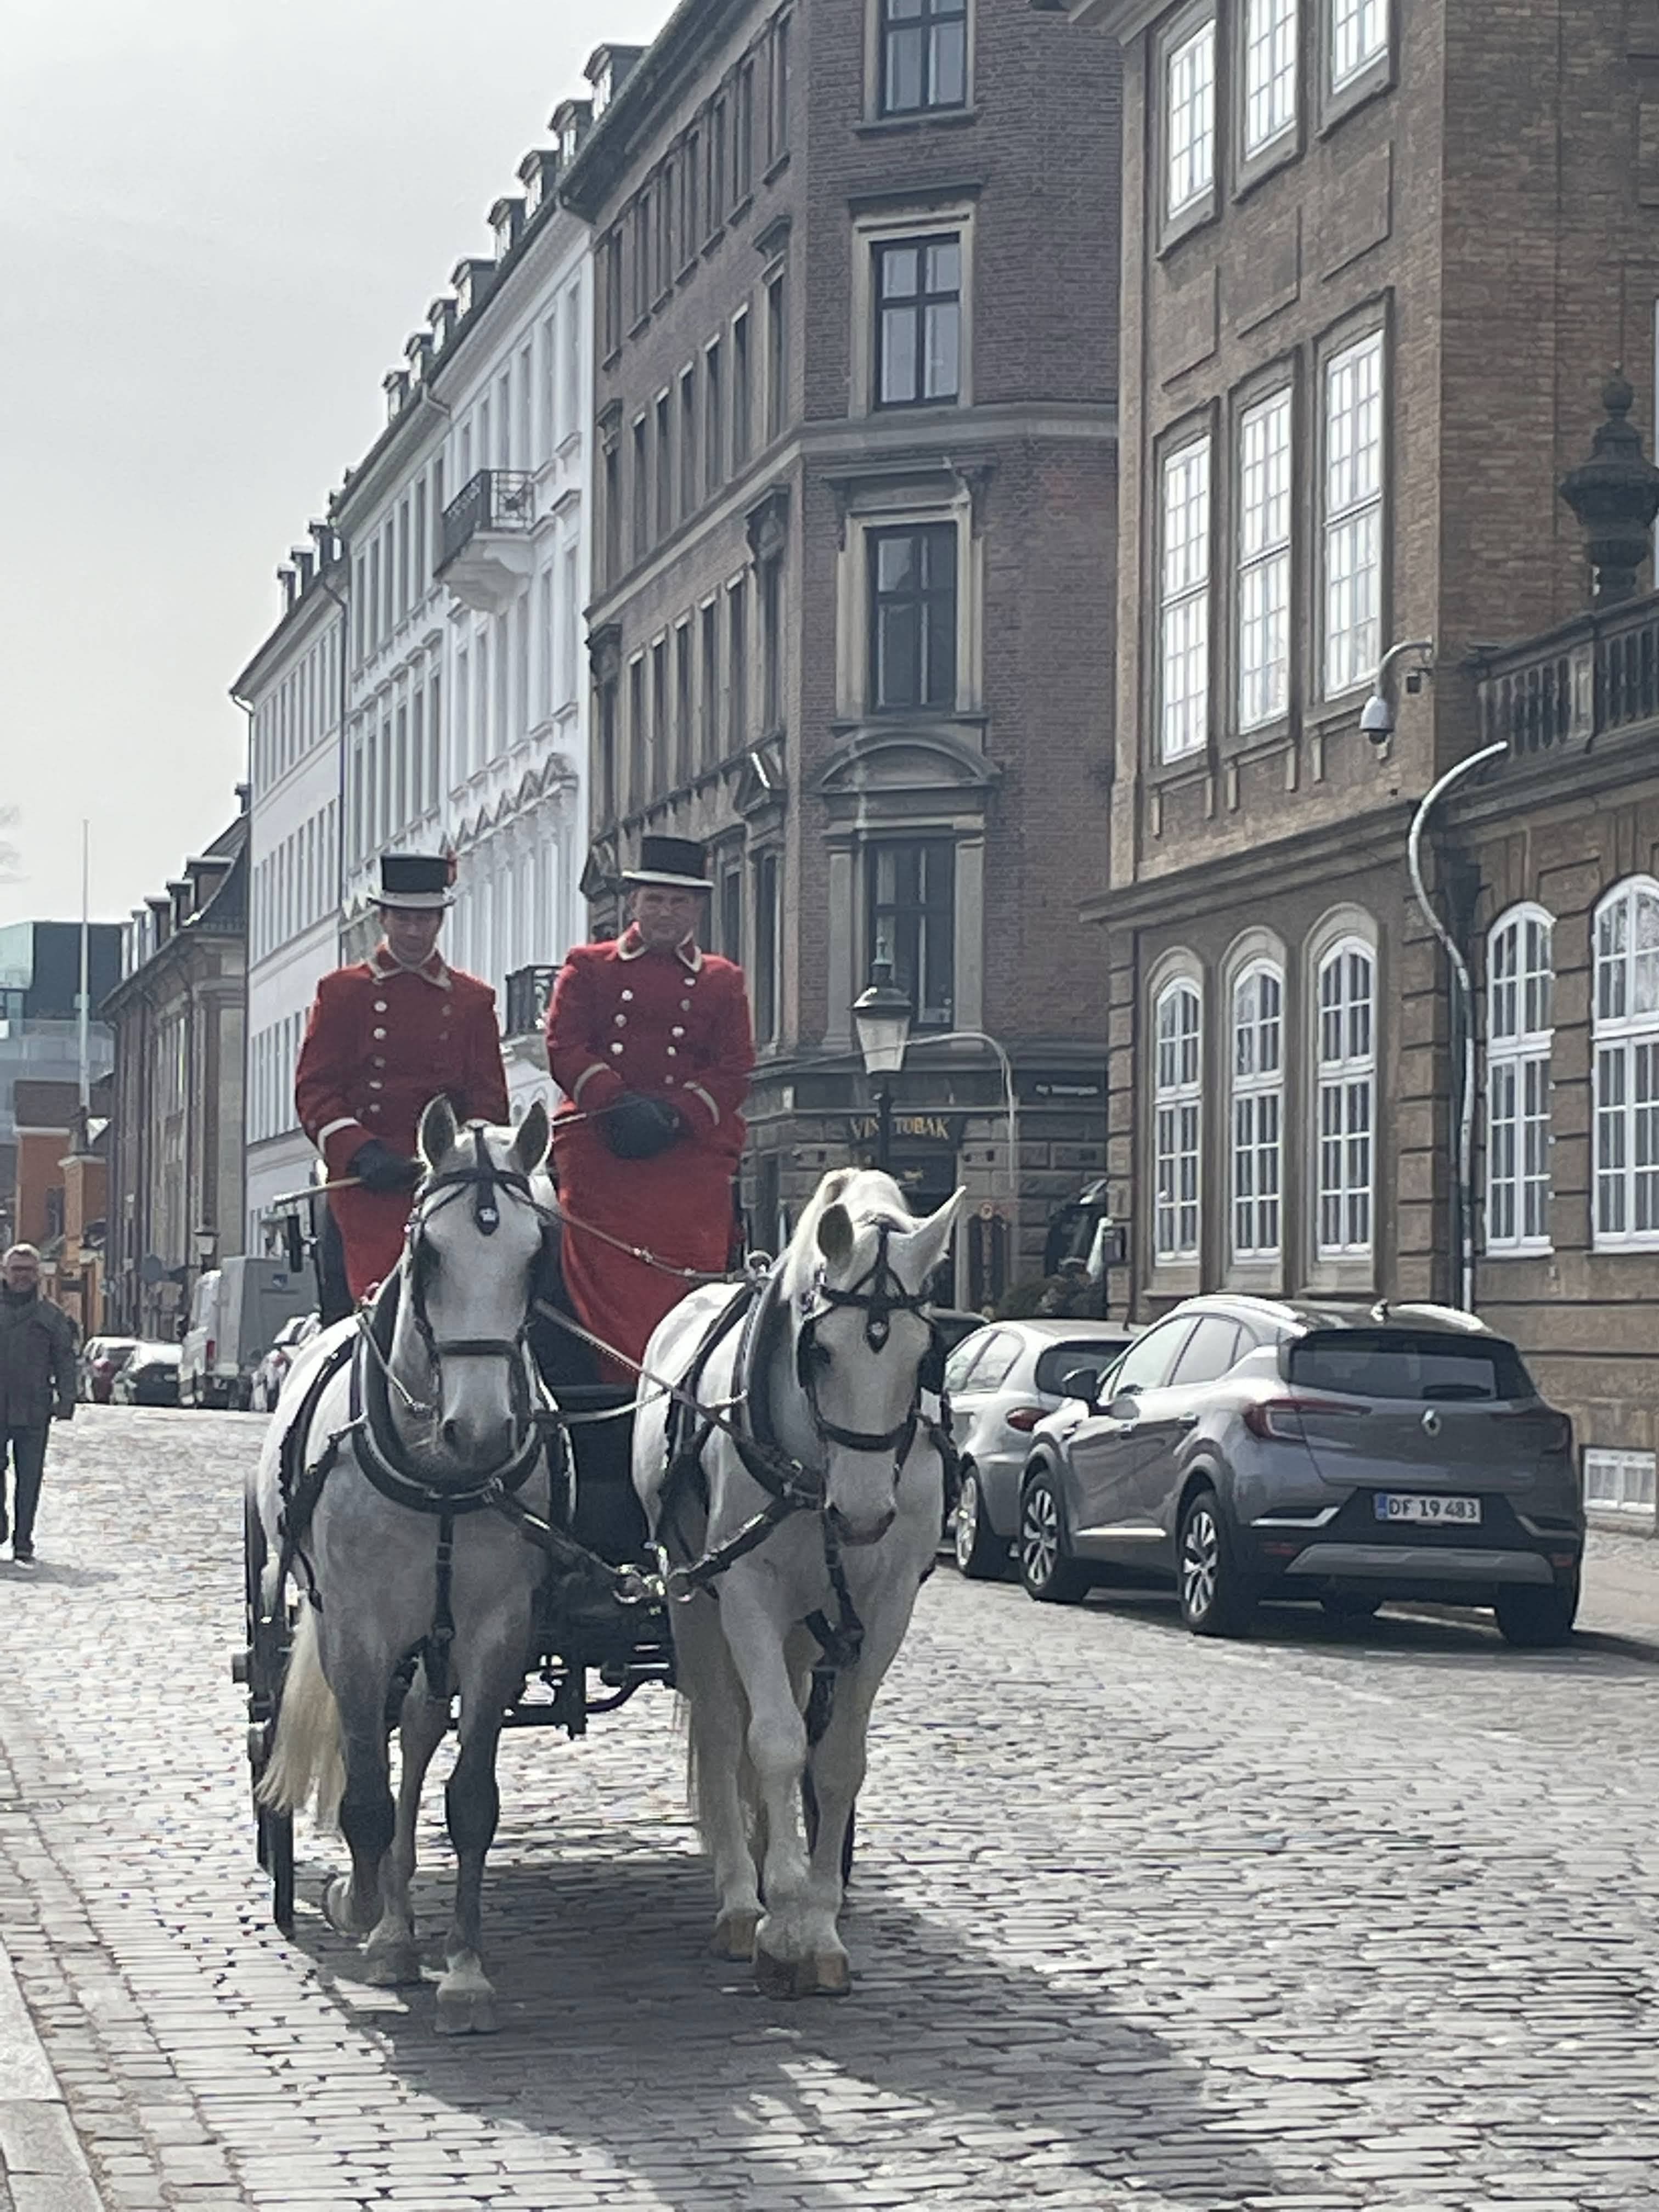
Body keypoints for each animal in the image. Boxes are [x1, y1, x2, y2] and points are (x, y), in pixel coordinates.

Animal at [250, 1097, 555, 2026]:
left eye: (537, 1255)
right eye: (428, 1255)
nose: (482, 1431)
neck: (441, 1475)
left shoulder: (497, 1631)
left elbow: (470, 1798)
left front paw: (463, 1968)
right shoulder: (356, 1628)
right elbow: (364, 1797)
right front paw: (373, 1927)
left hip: (437, 1637)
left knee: (417, 1730)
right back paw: (374, 1910)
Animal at [633, 1167, 960, 1999]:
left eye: (924, 1355)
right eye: (822, 1353)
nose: (864, 1512)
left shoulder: (885, 1607)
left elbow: (838, 1759)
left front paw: (818, 1918)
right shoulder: (746, 1591)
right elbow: (774, 1743)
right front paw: (780, 1921)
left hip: (806, 1629)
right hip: (693, 1597)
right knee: (725, 1731)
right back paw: (740, 1897)